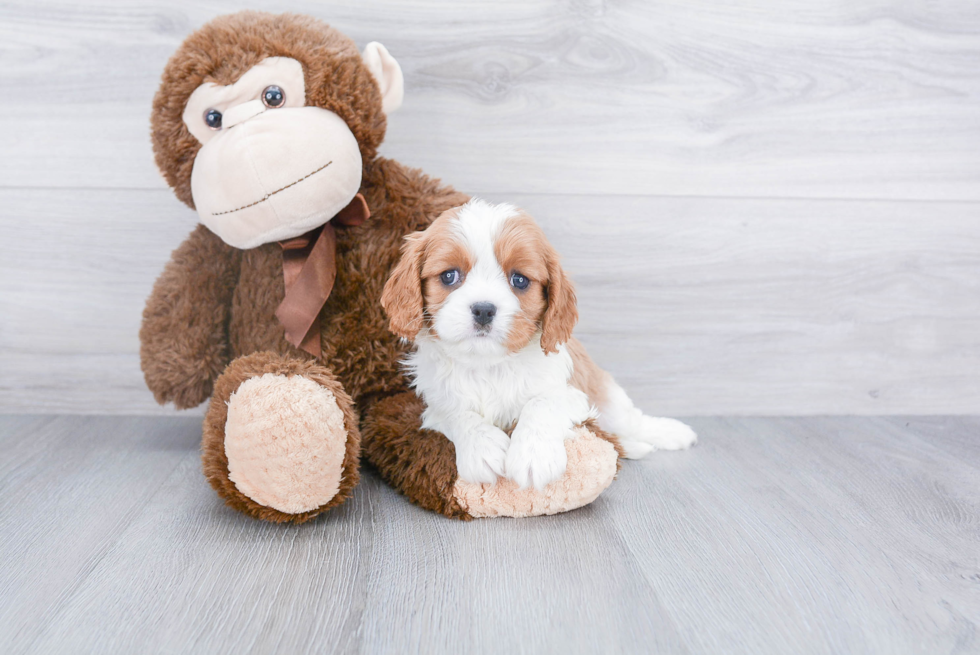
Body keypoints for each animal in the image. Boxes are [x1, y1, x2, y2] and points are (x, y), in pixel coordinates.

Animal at [378, 202, 692, 490]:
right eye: (449, 276)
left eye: (519, 280)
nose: (483, 309)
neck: (488, 365)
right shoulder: (435, 406)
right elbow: (458, 413)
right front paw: (482, 448)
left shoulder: (572, 394)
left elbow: (541, 403)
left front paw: (534, 455)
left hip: (610, 400)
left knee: (634, 421)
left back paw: (668, 433)